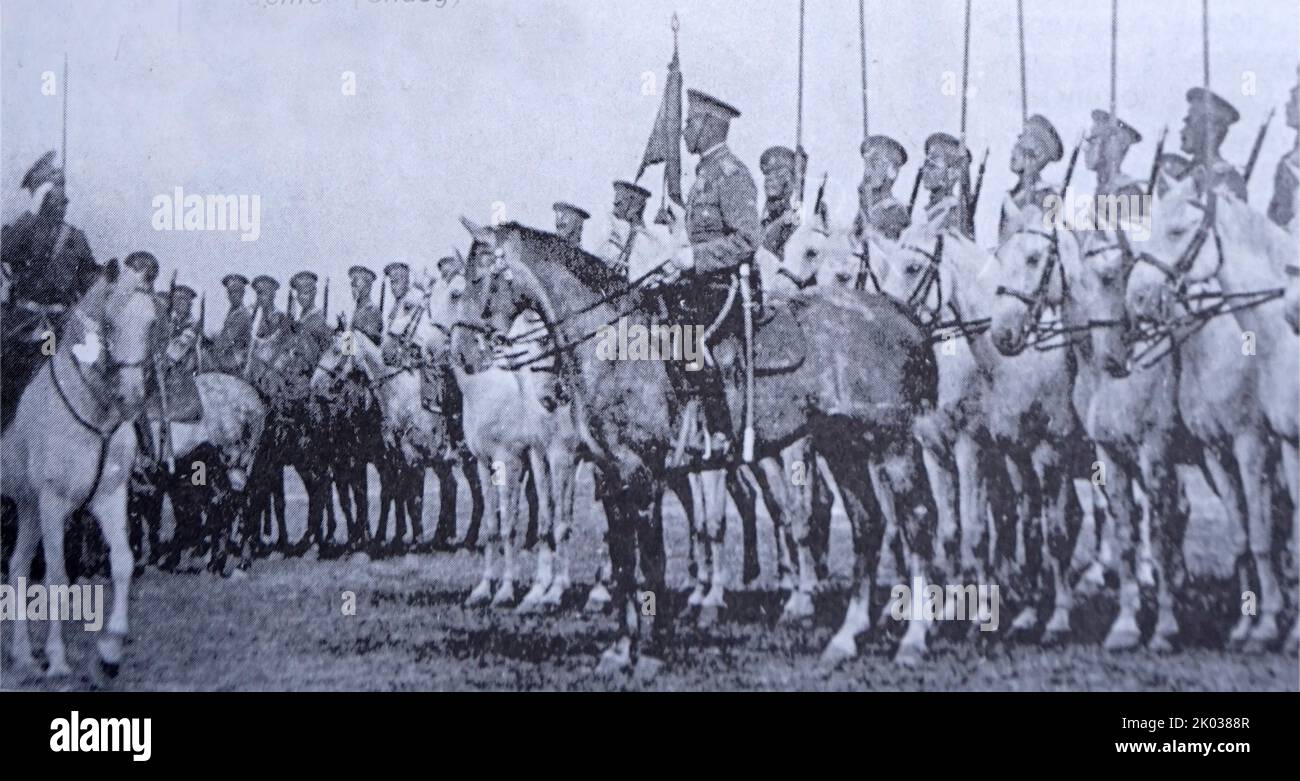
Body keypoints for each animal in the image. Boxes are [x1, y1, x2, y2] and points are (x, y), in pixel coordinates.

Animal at [457, 220, 935, 670]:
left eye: (479, 276)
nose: (463, 352)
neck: (616, 347)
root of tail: (901, 315)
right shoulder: (611, 475)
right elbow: (623, 559)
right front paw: (621, 649)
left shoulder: (641, 472)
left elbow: (650, 560)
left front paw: (649, 648)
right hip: (845, 447)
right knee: (868, 525)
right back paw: (845, 637)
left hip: (893, 445)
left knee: (916, 522)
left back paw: (913, 639)